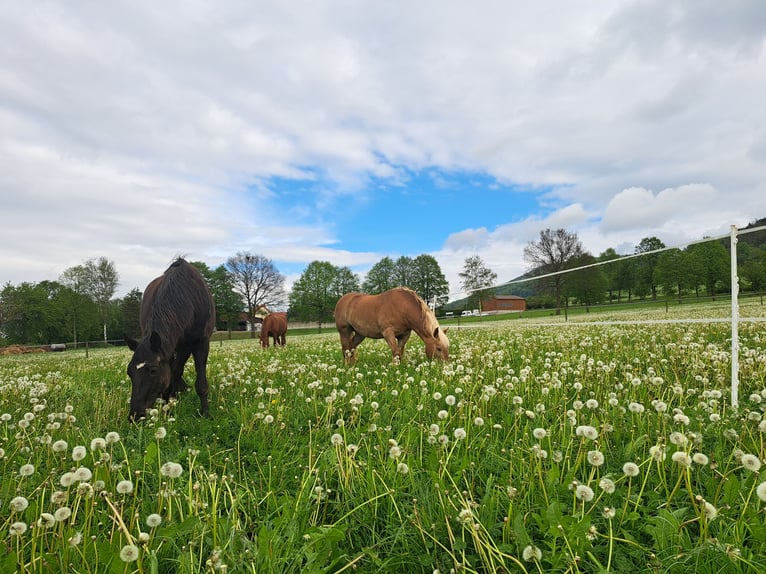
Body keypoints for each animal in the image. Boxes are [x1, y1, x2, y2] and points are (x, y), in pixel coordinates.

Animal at [125, 258, 216, 420]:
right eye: (129, 372)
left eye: (153, 370)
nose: (135, 416)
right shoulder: (175, 345)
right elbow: (173, 373)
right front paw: (167, 405)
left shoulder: (200, 343)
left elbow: (199, 382)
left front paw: (205, 413)